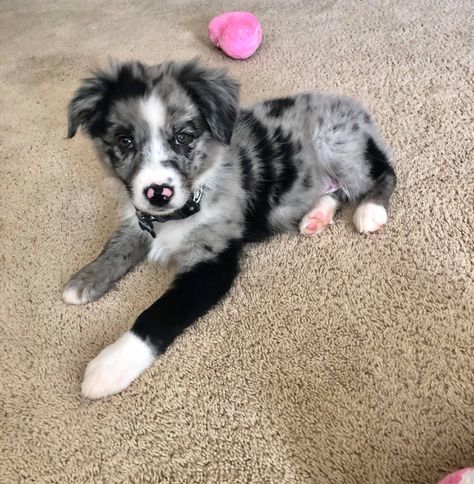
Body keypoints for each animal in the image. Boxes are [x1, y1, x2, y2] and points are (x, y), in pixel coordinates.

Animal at [64, 59, 396, 398]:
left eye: (183, 137)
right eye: (125, 141)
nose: (158, 193)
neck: (179, 210)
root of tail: (354, 108)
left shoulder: (213, 262)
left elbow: (158, 313)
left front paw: (110, 365)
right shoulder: (141, 219)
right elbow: (118, 245)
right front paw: (85, 279)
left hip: (336, 144)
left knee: (383, 172)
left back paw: (370, 210)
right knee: (338, 190)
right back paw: (316, 215)